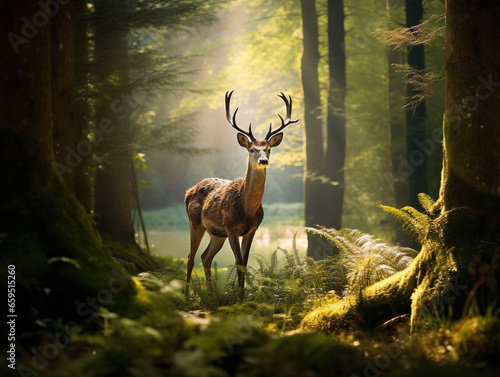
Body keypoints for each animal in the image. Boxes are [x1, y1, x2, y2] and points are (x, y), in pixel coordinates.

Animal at [186, 90, 298, 290]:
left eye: (268, 149)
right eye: (252, 149)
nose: (263, 161)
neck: (247, 210)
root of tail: (187, 192)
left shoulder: (252, 229)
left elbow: (244, 263)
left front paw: (242, 294)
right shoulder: (231, 227)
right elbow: (238, 262)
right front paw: (238, 294)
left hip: (216, 234)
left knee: (205, 257)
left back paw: (211, 292)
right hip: (195, 222)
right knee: (191, 257)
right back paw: (185, 293)